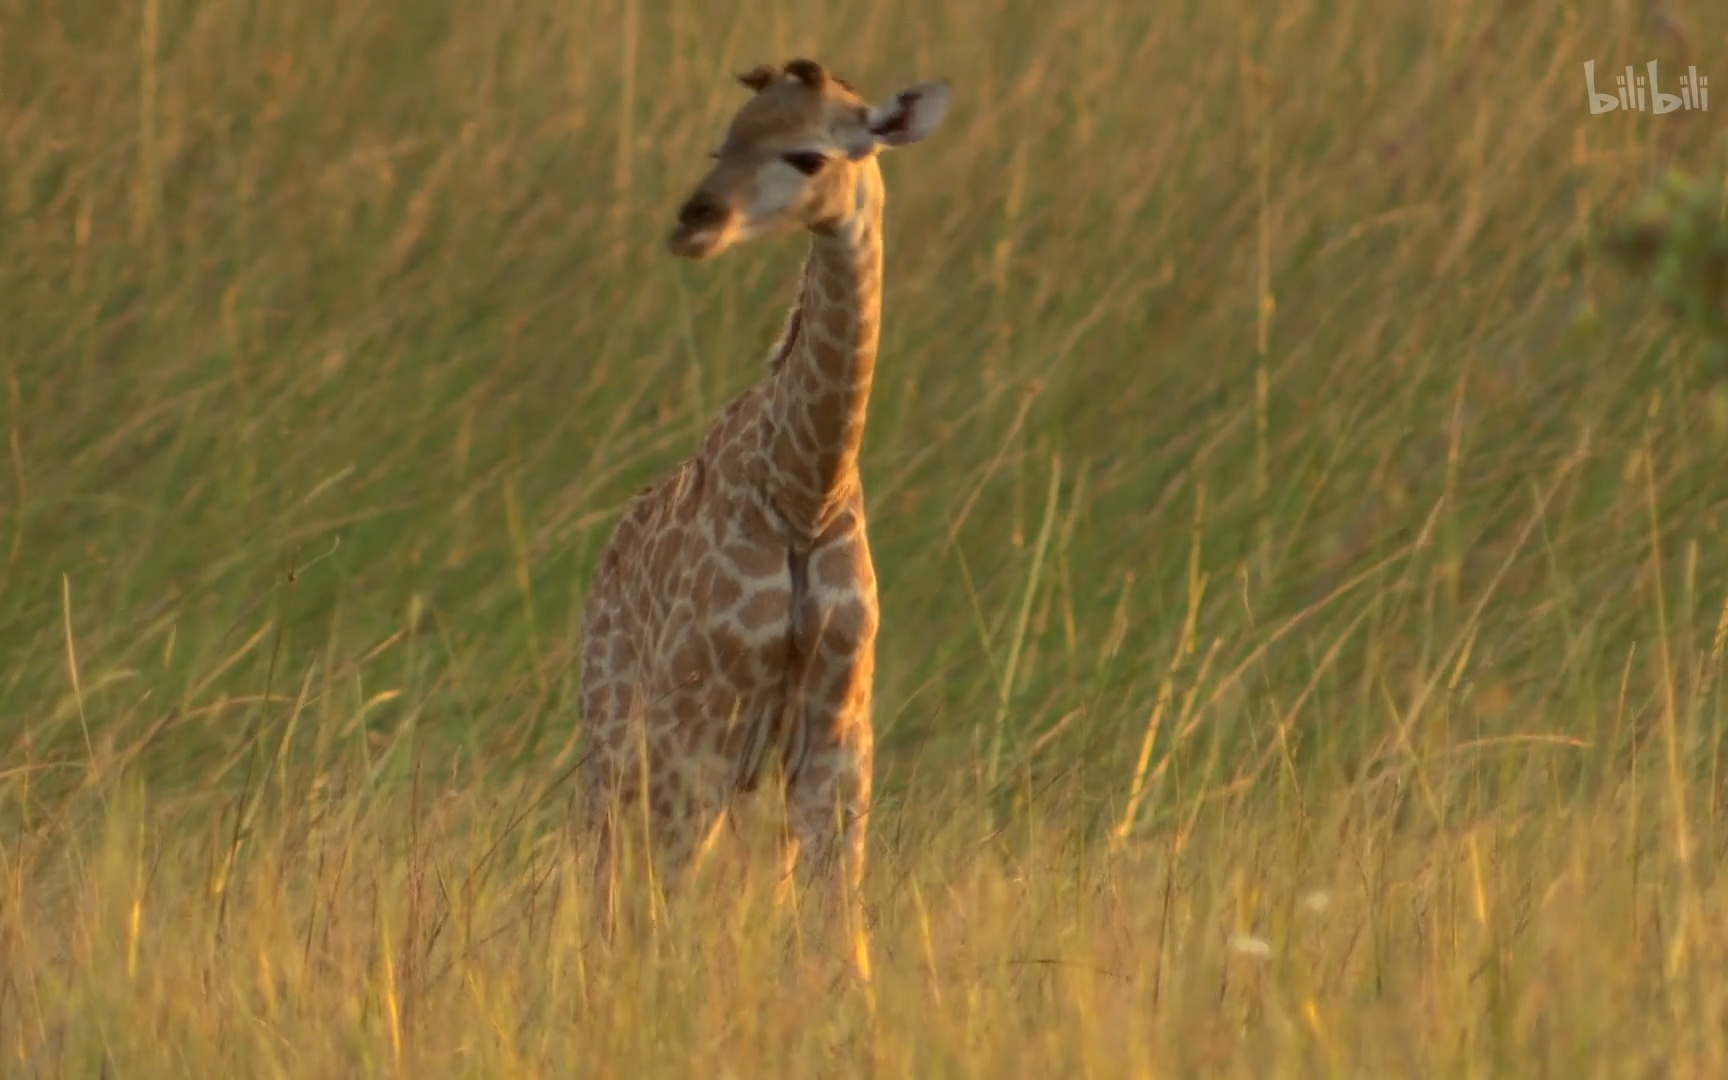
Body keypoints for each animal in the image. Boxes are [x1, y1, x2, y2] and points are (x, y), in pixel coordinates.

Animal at [580, 58, 960, 933]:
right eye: (722, 143)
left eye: (808, 155)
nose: (694, 222)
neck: (805, 489)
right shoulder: (700, 726)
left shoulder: (835, 731)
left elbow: (836, 924)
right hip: (613, 742)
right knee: (607, 884)